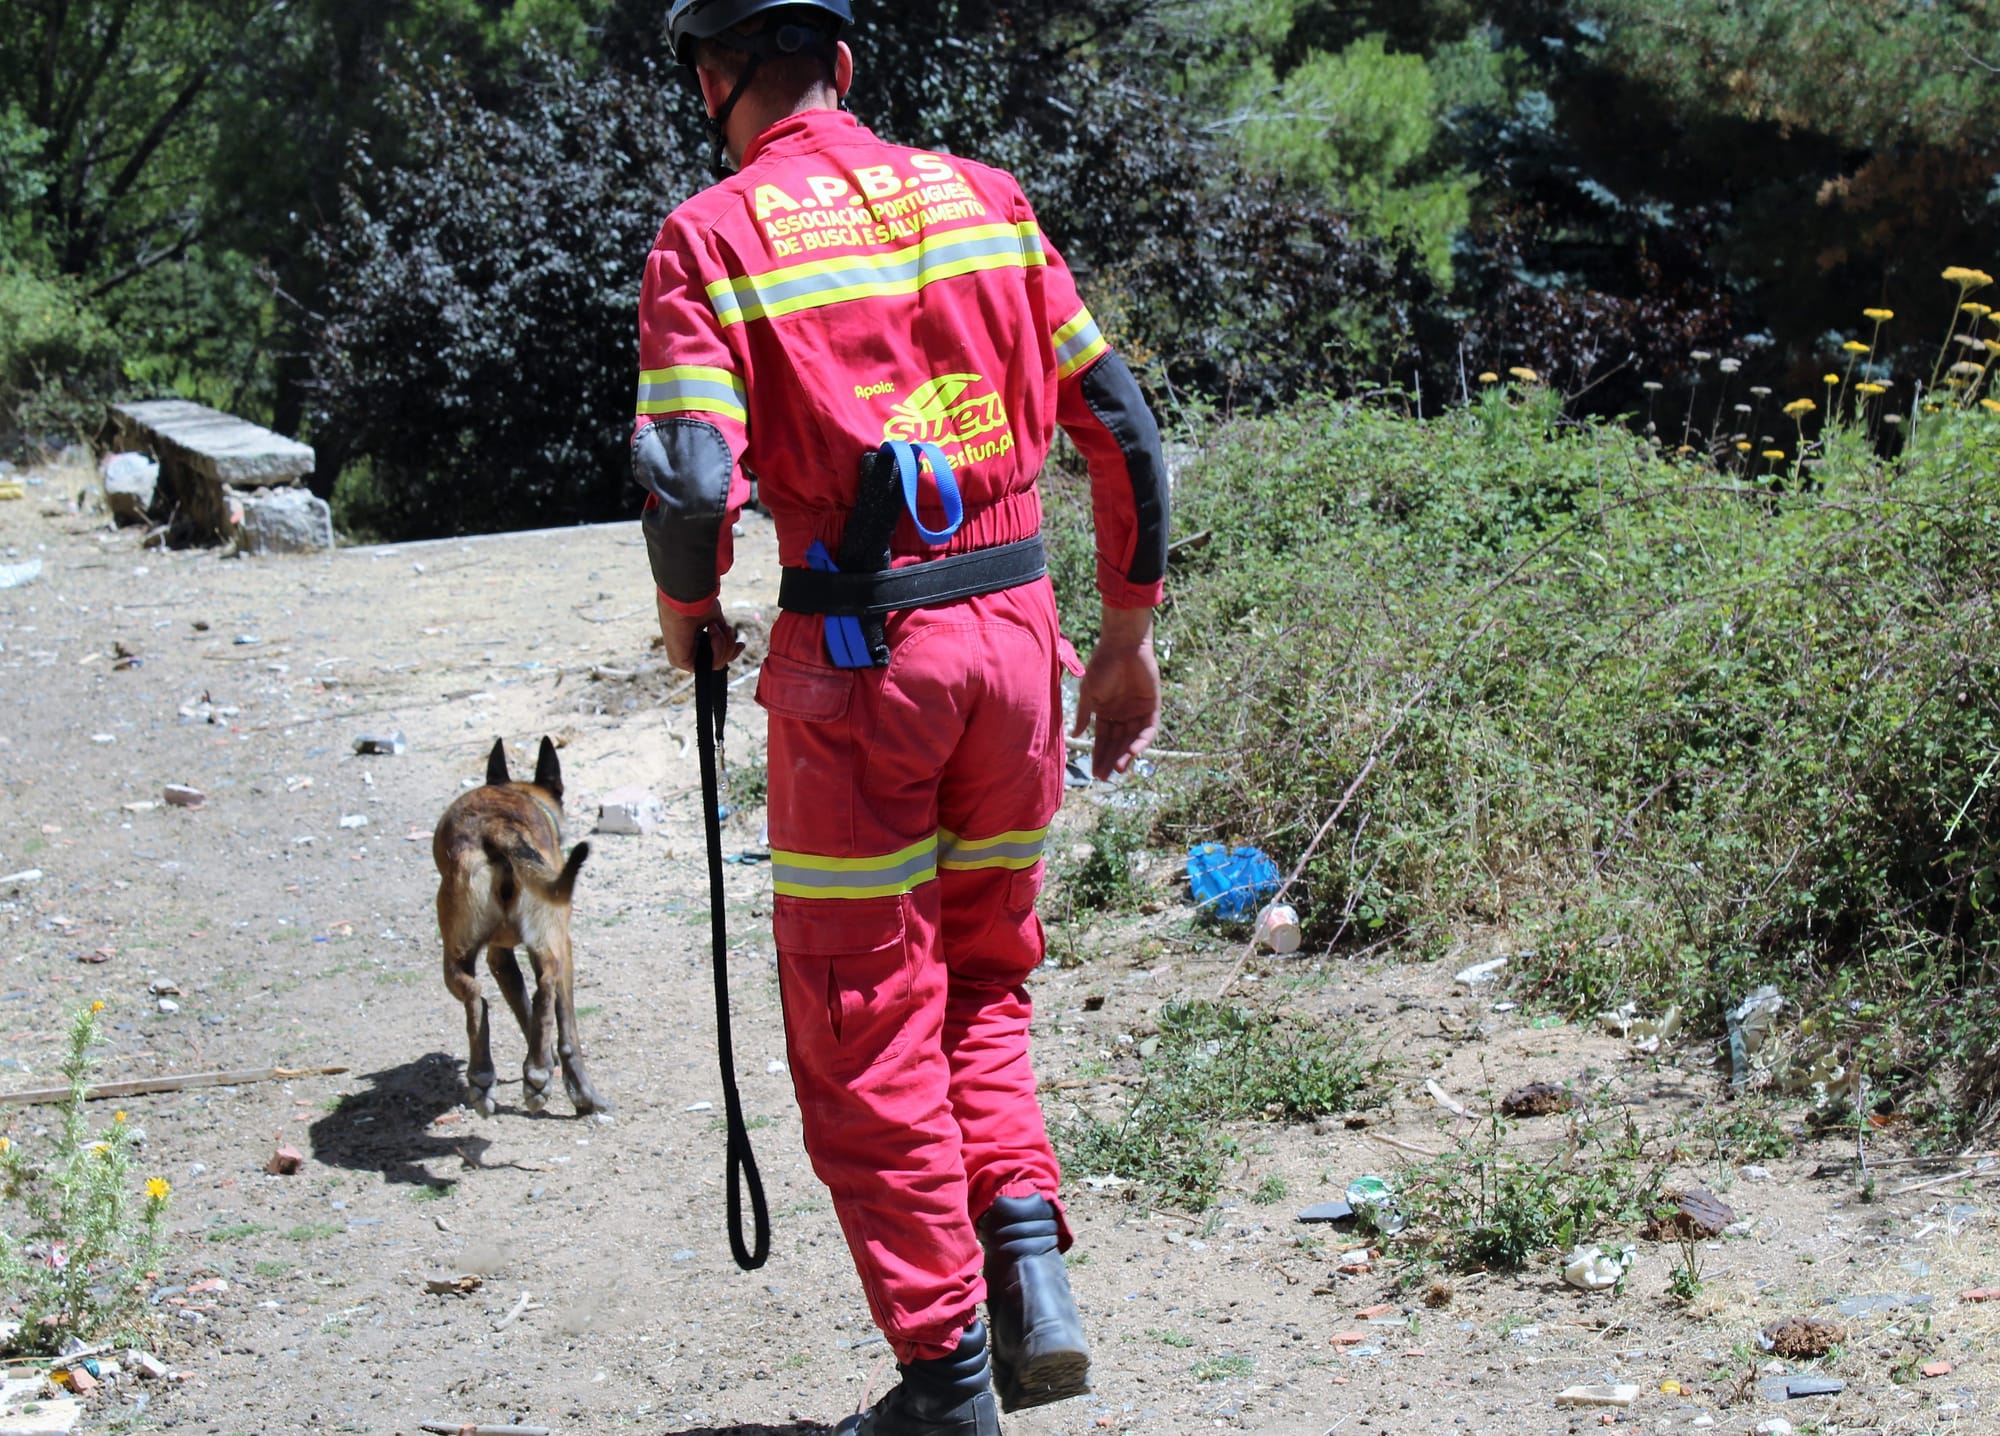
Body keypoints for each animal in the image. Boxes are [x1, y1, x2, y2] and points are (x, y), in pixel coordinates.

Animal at [432, 737, 608, 1116]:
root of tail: (496, 828)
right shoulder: (555, 945)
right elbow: (560, 1024)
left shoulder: (501, 957)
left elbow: (525, 1009)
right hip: (553, 941)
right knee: (546, 988)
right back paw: (547, 1078)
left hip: (456, 955)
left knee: (475, 996)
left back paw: (484, 1077)